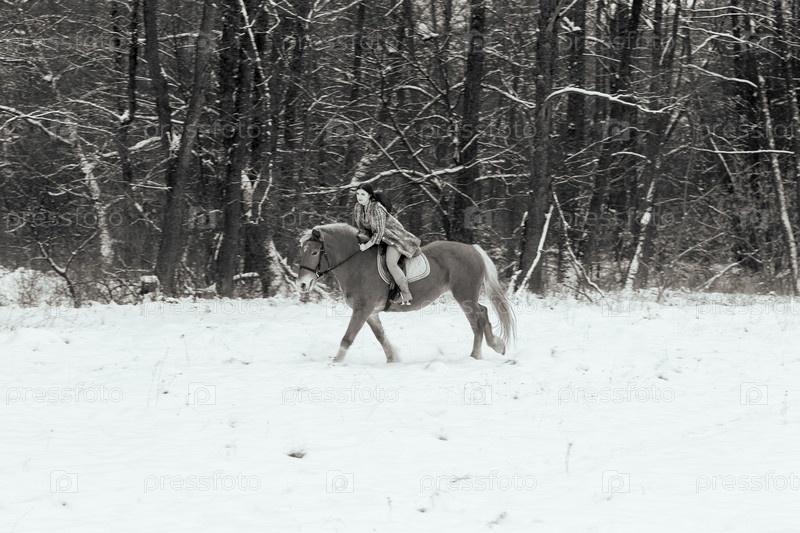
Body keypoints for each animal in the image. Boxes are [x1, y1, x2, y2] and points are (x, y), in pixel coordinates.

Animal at [296, 223, 516, 363]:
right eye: (302, 251)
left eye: (314, 252)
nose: (302, 284)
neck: (356, 264)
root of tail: (473, 249)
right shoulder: (371, 312)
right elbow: (381, 336)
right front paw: (393, 359)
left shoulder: (362, 309)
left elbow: (347, 338)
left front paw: (335, 362)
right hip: (466, 296)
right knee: (482, 314)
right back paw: (493, 347)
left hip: (465, 296)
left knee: (478, 319)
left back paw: (479, 354)